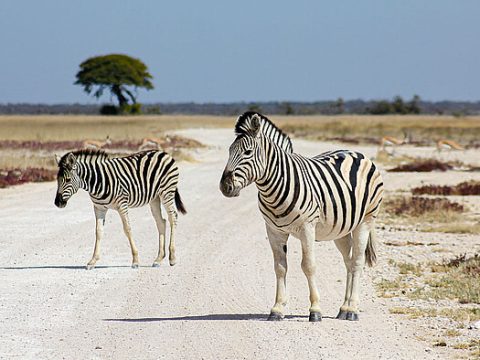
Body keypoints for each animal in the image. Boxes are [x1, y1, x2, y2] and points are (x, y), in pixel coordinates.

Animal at [54, 148, 186, 268]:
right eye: (57, 180)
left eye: (68, 180)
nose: (57, 203)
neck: (98, 181)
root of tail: (163, 153)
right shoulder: (99, 208)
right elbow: (98, 232)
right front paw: (93, 261)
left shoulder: (122, 205)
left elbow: (127, 229)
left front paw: (135, 260)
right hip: (154, 198)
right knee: (161, 222)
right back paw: (158, 259)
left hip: (167, 192)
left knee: (173, 218)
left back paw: (172, 258)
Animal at [219, 111, 384, 322]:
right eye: (229, 151)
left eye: (247, 152)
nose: (225, 186)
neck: (274, 187)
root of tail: (357, 153)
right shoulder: (273, 230)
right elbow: (280, 267)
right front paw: (277, 309)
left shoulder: (307, 227)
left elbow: (308, 266)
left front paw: (315, 310)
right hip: (341, 229)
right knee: (348, 262)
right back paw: (344, 308)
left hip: (366, 220)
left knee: (357, 262)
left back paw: (352, 310)